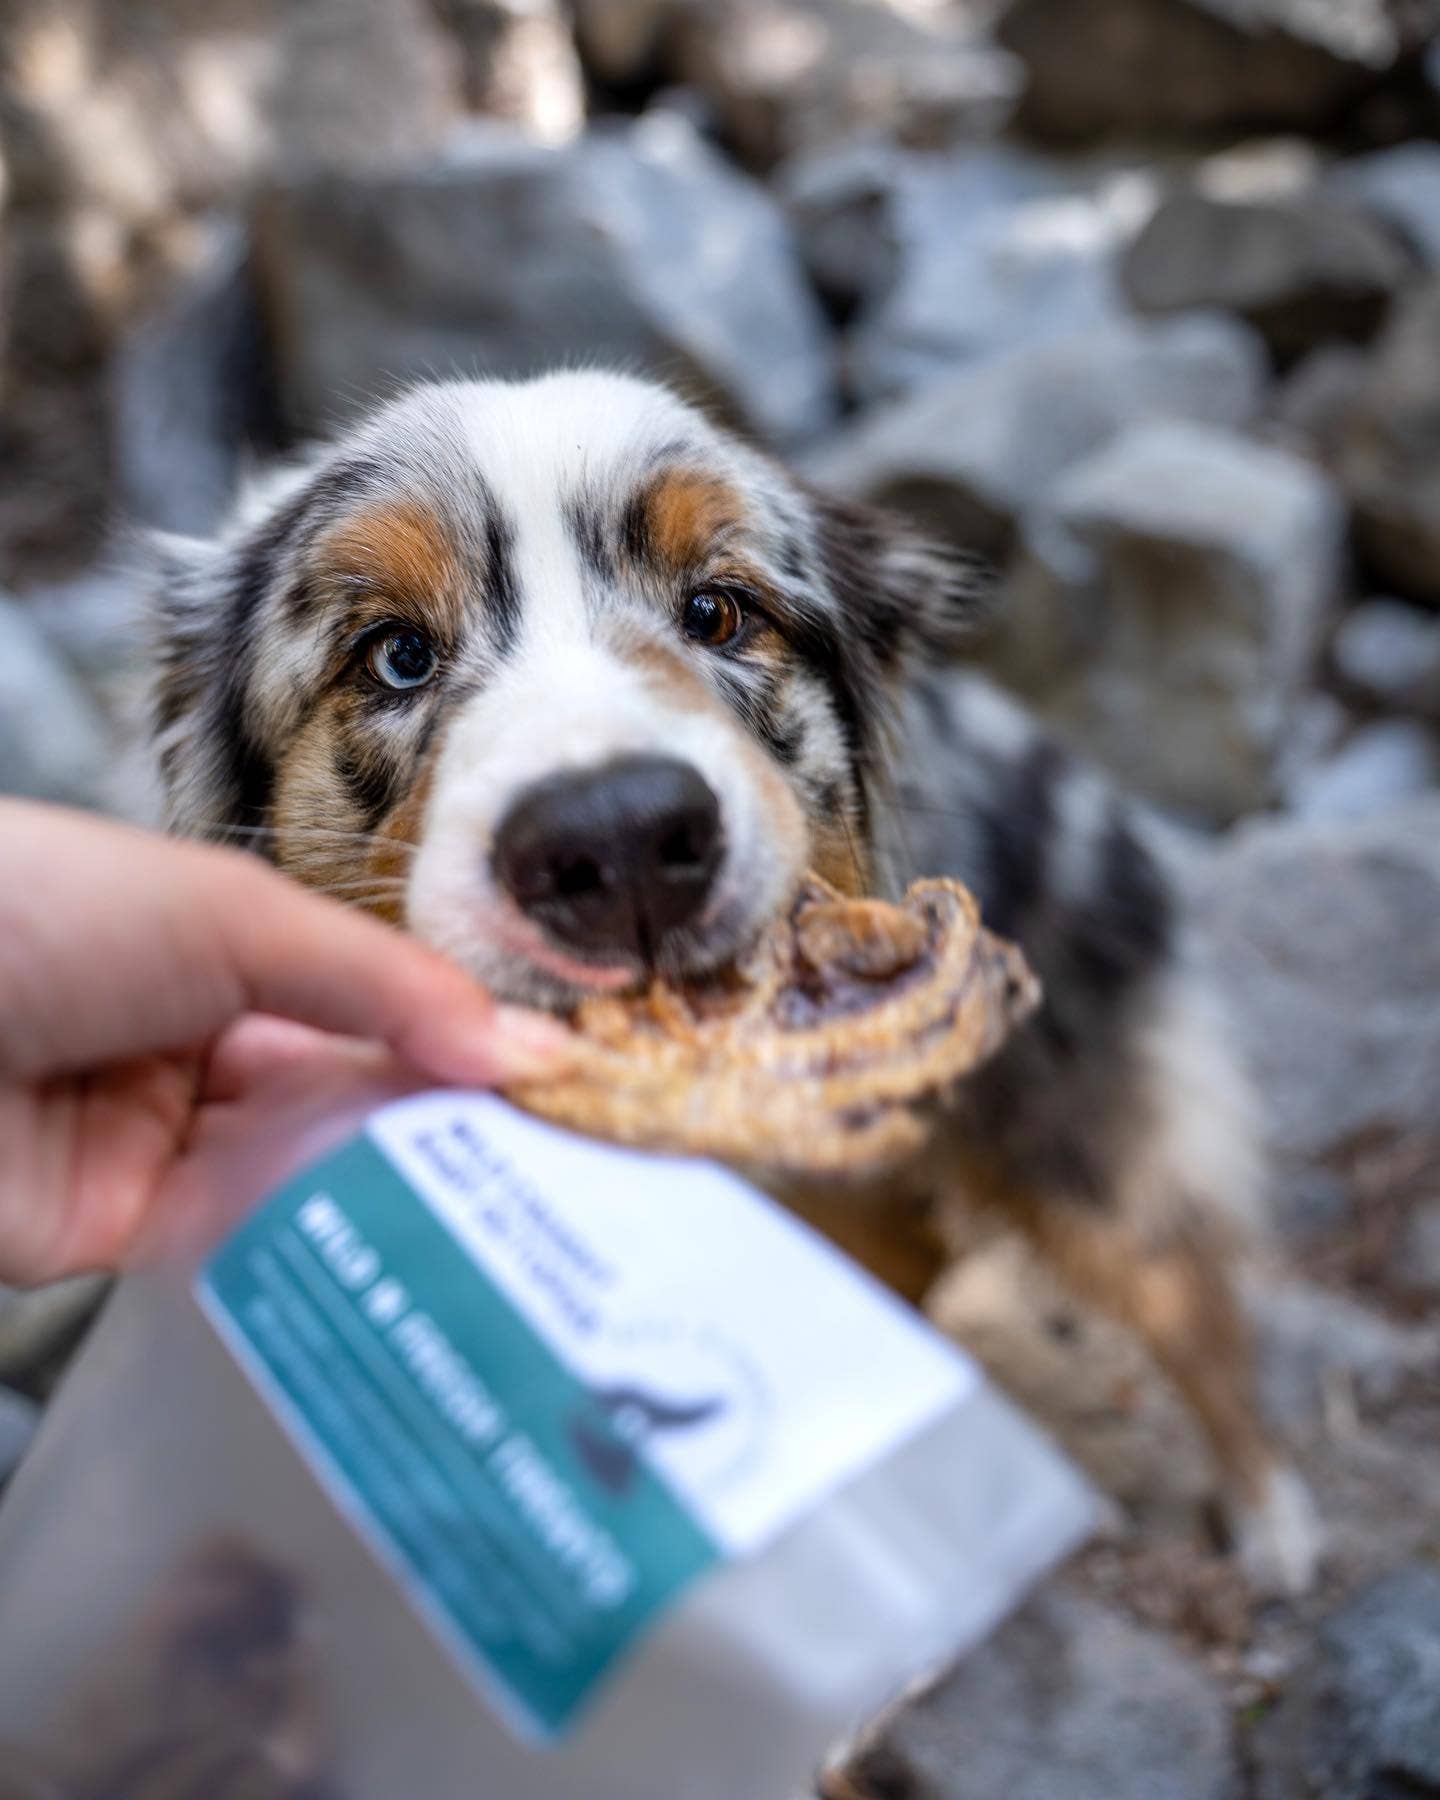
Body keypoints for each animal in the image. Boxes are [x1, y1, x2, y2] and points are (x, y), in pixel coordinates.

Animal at [145, 369, 1317, 1591]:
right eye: (395, 655)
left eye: (718, 612)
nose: (617, 841)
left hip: (1086, 1147)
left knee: (1187, 1293)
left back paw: (1268, 1512)